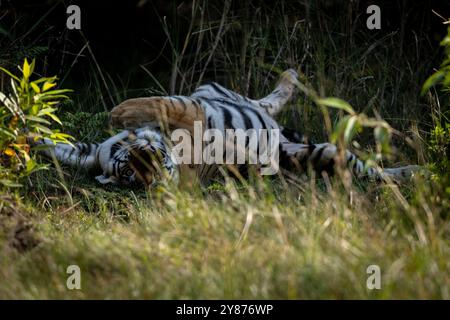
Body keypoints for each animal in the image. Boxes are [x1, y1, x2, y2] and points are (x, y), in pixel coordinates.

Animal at [36, 68, 422, 186]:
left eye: (132, 163)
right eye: (130, 177)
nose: (154, 174)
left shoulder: (192, 109)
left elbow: (163, 104)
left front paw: (119, 114)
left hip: (218, 91)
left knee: (264, 101)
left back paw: (291, 76)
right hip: (317, 155)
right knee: (369, 171)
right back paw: (415, 174)